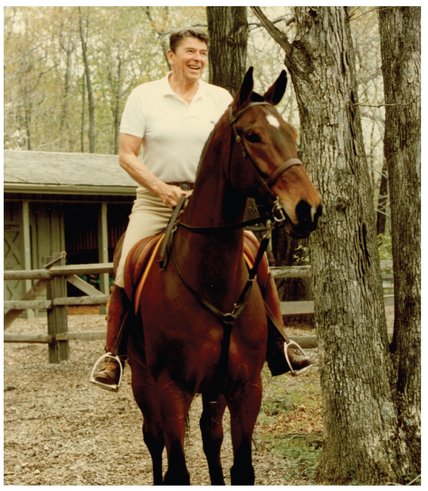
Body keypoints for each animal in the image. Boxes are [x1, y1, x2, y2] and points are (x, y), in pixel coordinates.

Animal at [123, 67, 320, 486]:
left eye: (292, 133)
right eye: (253, 135)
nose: (308, 208)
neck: (211, 280)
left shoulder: (246, 387)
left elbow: (241, 466)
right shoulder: (171, 388)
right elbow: (177, 470)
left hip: (213, 390)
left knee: (210, 436)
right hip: (142, 380)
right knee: (154, 439)